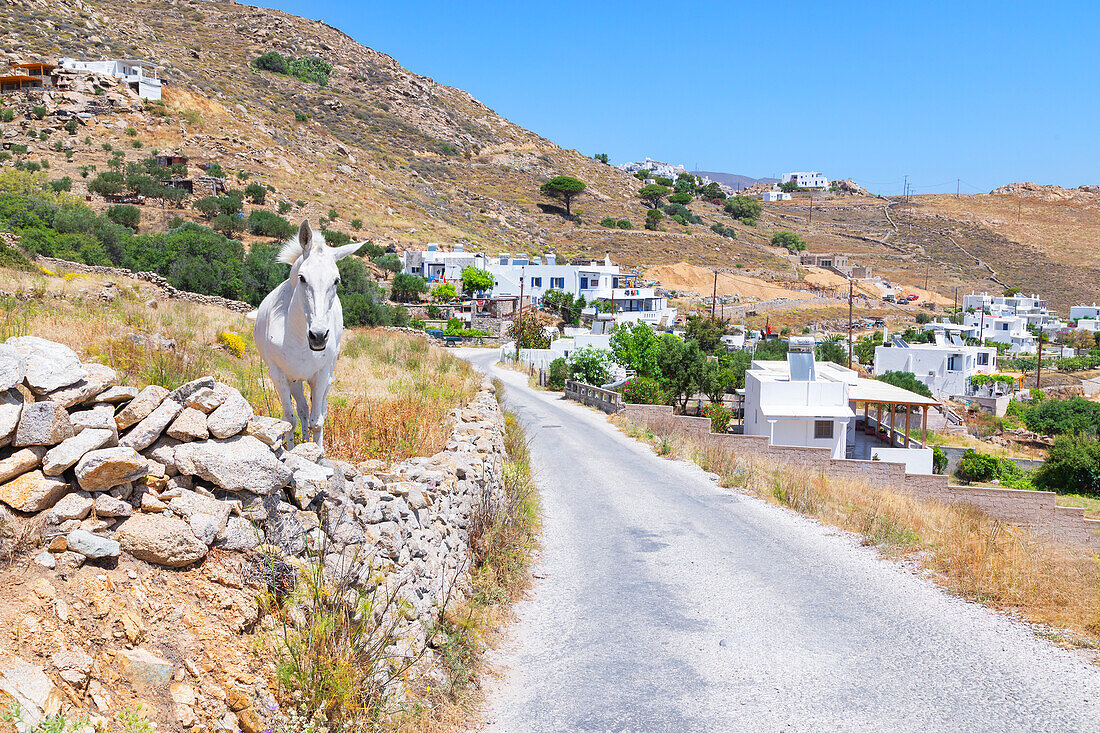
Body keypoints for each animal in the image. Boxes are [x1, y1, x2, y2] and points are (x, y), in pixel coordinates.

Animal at [253, 217, 360, 444]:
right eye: (302, 278)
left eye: (336, 280)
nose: (318, 337)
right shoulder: (279, 375)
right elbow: (289, 420)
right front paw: (292, 449)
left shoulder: (321, 375)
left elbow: (317, 421)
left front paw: (317, 450)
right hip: (295, 381)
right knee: (301, 410)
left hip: (324, 378)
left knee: (316, 410)